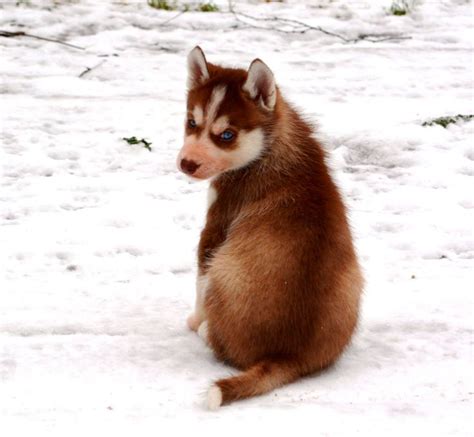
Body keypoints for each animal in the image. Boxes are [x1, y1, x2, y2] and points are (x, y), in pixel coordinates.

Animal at [177, 47, 362, 408]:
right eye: (192, 122)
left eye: (227, 135)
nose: (186, 164)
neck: (270, 144)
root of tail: (288, 356)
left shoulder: (216, 228)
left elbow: (197, 283)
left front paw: (195, 320)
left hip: (223, 270)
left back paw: (207, 332)